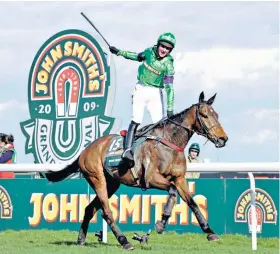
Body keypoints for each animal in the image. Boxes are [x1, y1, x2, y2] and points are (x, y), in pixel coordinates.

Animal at [45, 91, 228, 250]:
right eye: (204, 115)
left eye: (217, 115)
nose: (223, 139)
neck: (169, 143)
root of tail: (85, 150)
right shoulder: (151, 178)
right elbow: (172, 191)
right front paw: (161, 223)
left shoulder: (180, 179)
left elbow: (192, 202)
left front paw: (210, 232)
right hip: (97, 179)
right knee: (106, 211)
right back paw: (124, 241)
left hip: (112, 183)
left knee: (90, 208)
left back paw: (81, 240)